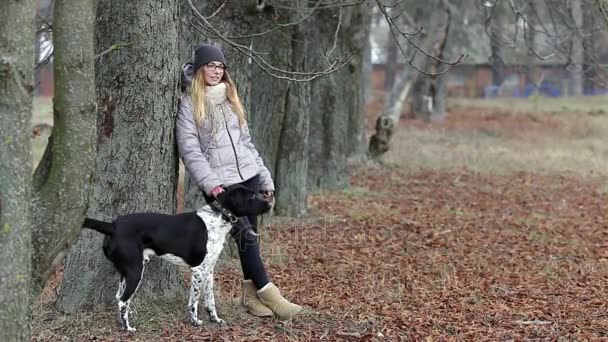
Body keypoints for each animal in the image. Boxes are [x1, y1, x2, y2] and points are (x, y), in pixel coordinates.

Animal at [82, 184, 272, 332]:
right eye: (252, 195)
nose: (270, 203)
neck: (217, 218)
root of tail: (112, 226)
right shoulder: (198, 270)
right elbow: (194, 301)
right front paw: (195, 321)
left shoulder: (209, 270)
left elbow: (210, 300)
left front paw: (215, 319)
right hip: (135, 271)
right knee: (122, 301)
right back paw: (127, 328)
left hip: (127, 271)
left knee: (119, 297)